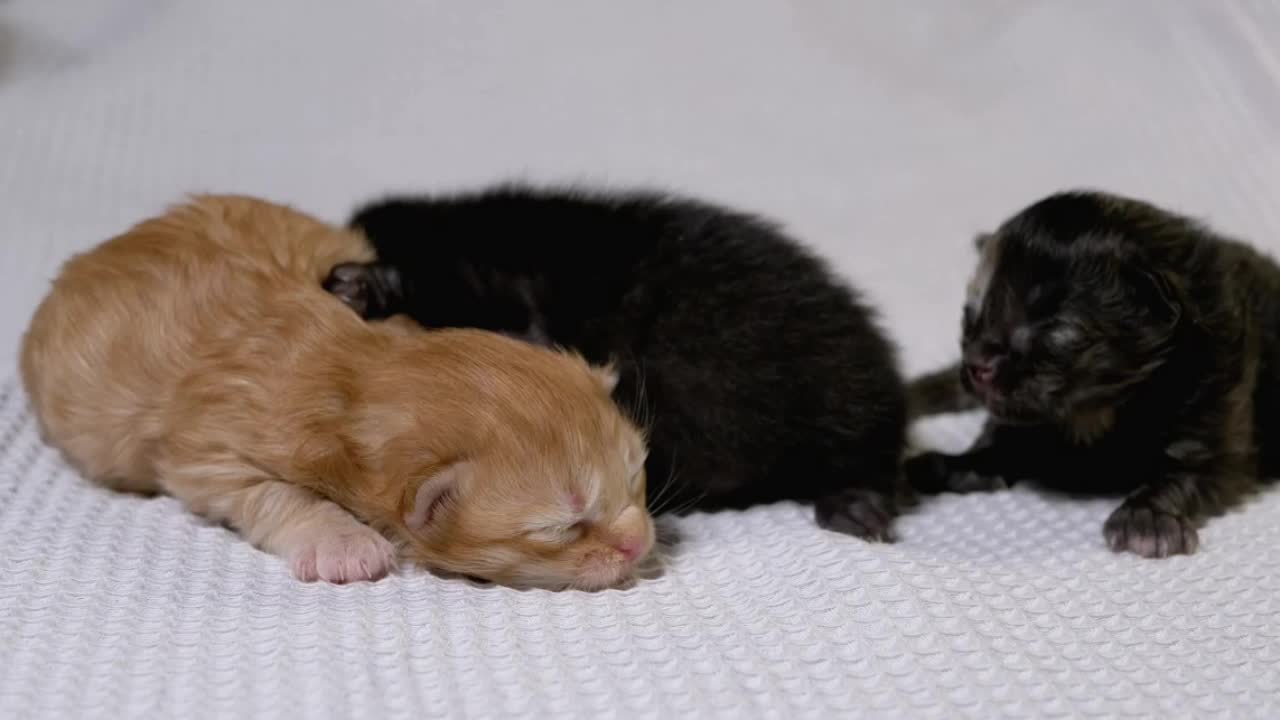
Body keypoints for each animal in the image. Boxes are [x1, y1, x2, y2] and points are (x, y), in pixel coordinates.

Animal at [22, 193, 650, 586]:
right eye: (560, 527)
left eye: (636, 476)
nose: (640, 544)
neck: (358, 369)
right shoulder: (206, 453)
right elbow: (275, 494)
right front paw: (344, 545)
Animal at [906, 189, 1280, 556]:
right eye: (972, 315)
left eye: (1054, 326)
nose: (977, 364)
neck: (1096, 414)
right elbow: (995, 444)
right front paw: (951, 464)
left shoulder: (1216, 407)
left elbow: (1184, 475)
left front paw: (1147, 516)